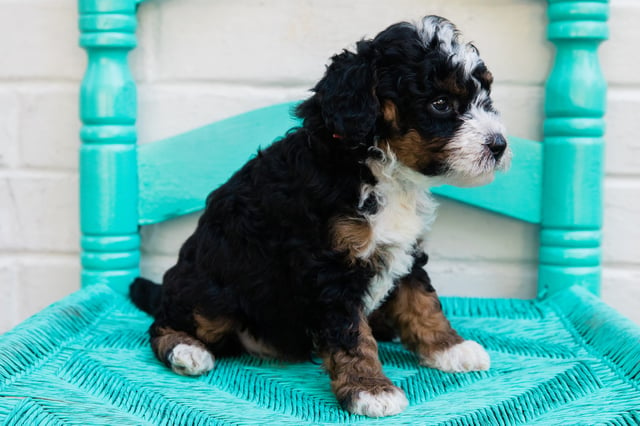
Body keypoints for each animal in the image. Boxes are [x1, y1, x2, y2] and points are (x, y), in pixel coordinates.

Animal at [129, 15, 510, 416]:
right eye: (440, 103)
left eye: (485, 96)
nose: (499, 145)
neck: (380, 169)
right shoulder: (329, 268)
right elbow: (352, 335)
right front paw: (370, 389)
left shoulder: (405, 249)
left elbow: (422, 301)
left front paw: (450, 347)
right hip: (212, 293)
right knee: (164, 323)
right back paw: (187, 351)